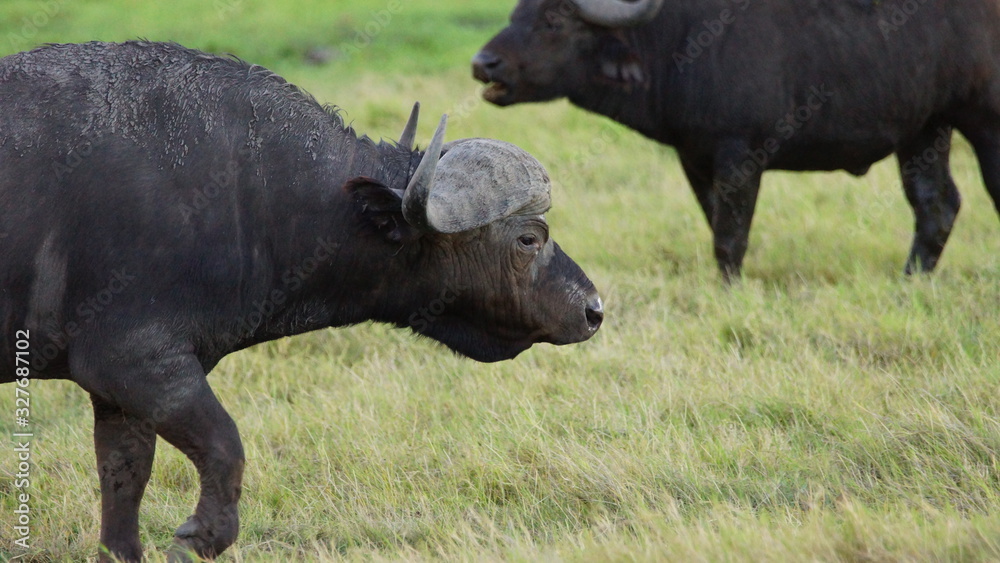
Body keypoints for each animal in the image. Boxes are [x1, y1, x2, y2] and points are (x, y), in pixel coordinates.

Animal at [0, 41, 602, 561]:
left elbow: (124, 479)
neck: (246, 189)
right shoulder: (136, 361)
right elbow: (226, 447)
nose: (593, 309)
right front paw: (201, 536)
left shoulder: (118, 391)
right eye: (529, 238)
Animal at [473, 0, 1000, 280]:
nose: (483, 63)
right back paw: (910, 279)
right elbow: (716, 227)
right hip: (925, 129)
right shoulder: (694, 159)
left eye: (554, 20)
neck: (678, 41)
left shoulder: (740, 154)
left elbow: (731, 235)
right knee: (937, 205)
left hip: (983, 123)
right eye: (516, 12)